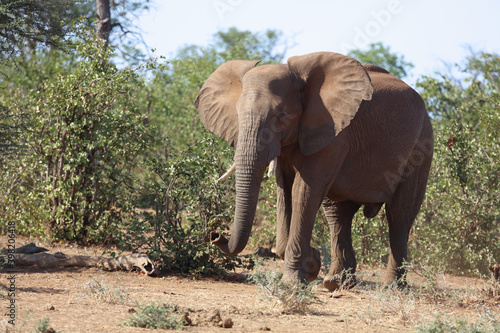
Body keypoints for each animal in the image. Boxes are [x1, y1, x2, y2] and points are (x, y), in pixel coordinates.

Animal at [195, 51, 434, 288]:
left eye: (282, 114)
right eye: (237, 113)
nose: (216, 234)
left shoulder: (334, 134)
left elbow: (304, 190)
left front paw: (294, 279)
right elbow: (285, 189)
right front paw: (310, 264)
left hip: (422, 145)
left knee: (399, 215)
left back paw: (392, 287)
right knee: (338, 214)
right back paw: (335, 283)